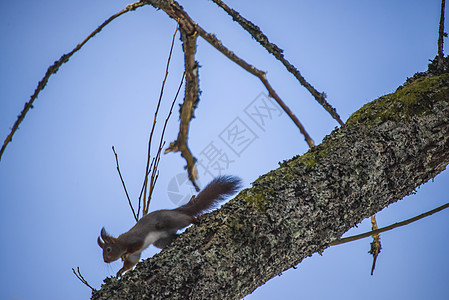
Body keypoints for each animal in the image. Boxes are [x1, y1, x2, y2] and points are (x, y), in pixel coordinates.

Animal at [97, 176, 242, 276]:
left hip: (172, 219)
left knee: (188, 219)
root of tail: (176, 210)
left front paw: (125, 254)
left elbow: (134, 248)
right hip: (161, 240)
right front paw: (121, 270)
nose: (105, 260)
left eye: (108, 249)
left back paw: (197, 218)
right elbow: (132, 262)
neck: (121, 242)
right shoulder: (136, 255)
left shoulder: (135, 239)